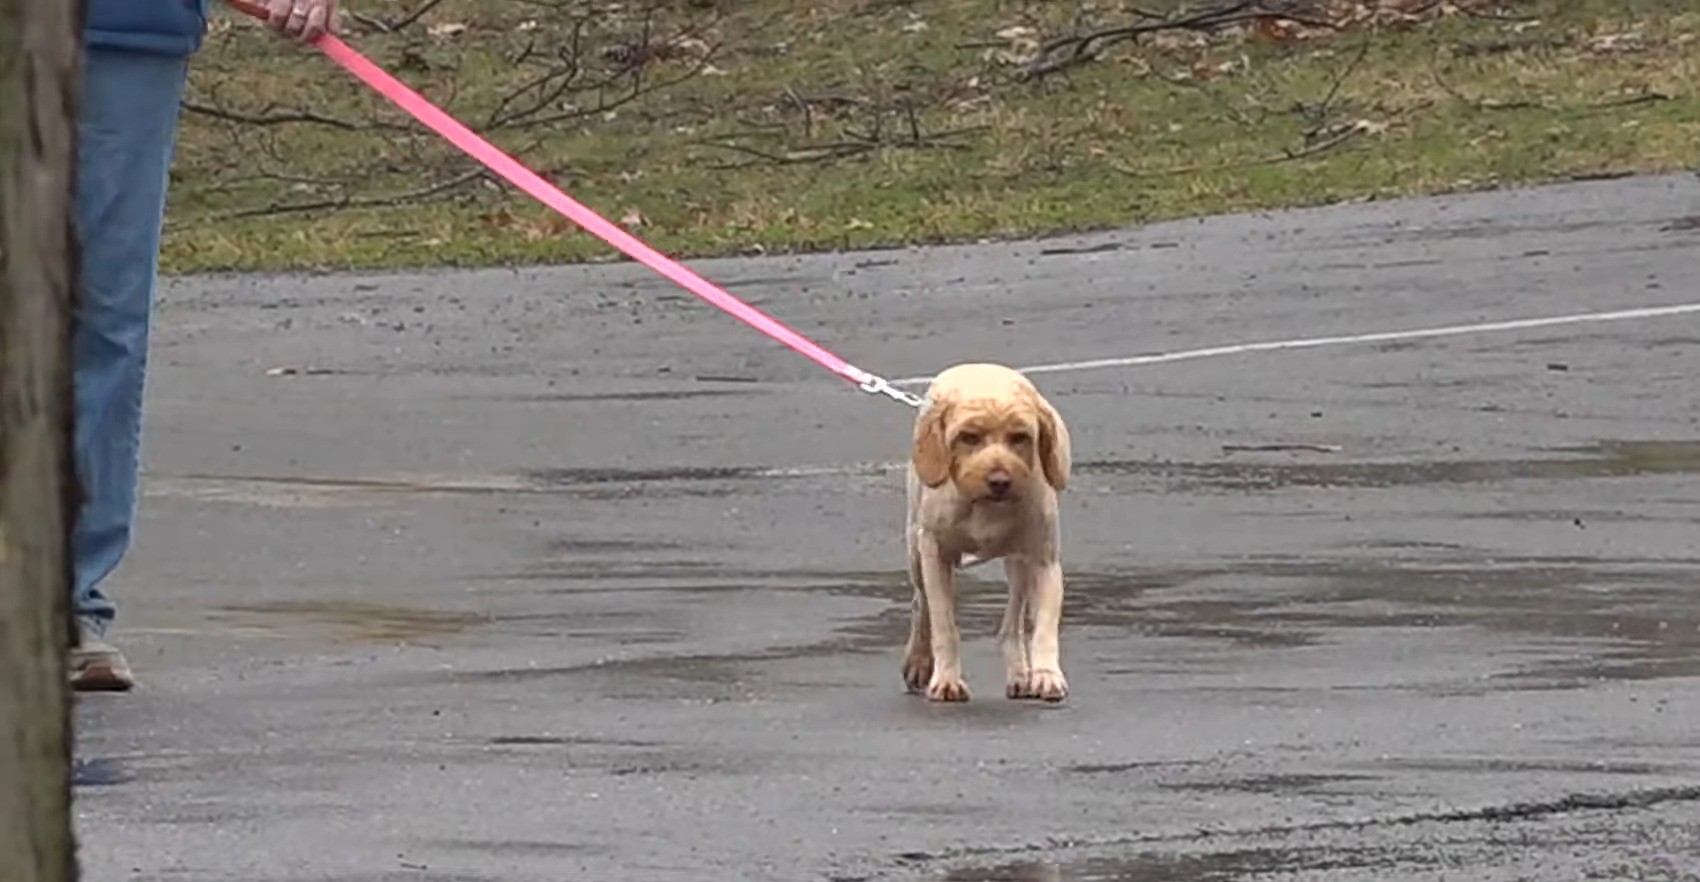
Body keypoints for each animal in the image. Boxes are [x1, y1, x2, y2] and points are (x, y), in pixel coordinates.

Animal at [904, 360, 1074, 703]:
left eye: (1020, 437)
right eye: (968, 437)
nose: (999, 481)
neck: (984, 507)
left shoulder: (1044, 561)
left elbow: (1045, 626)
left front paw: (1047, 675)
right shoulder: (934, 552)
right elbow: (943, 623)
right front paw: (946, 680)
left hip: (1019, 565)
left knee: (1011, 625)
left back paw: (1021, 673)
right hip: (915, 549)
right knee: (920, 604)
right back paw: (918, 660)